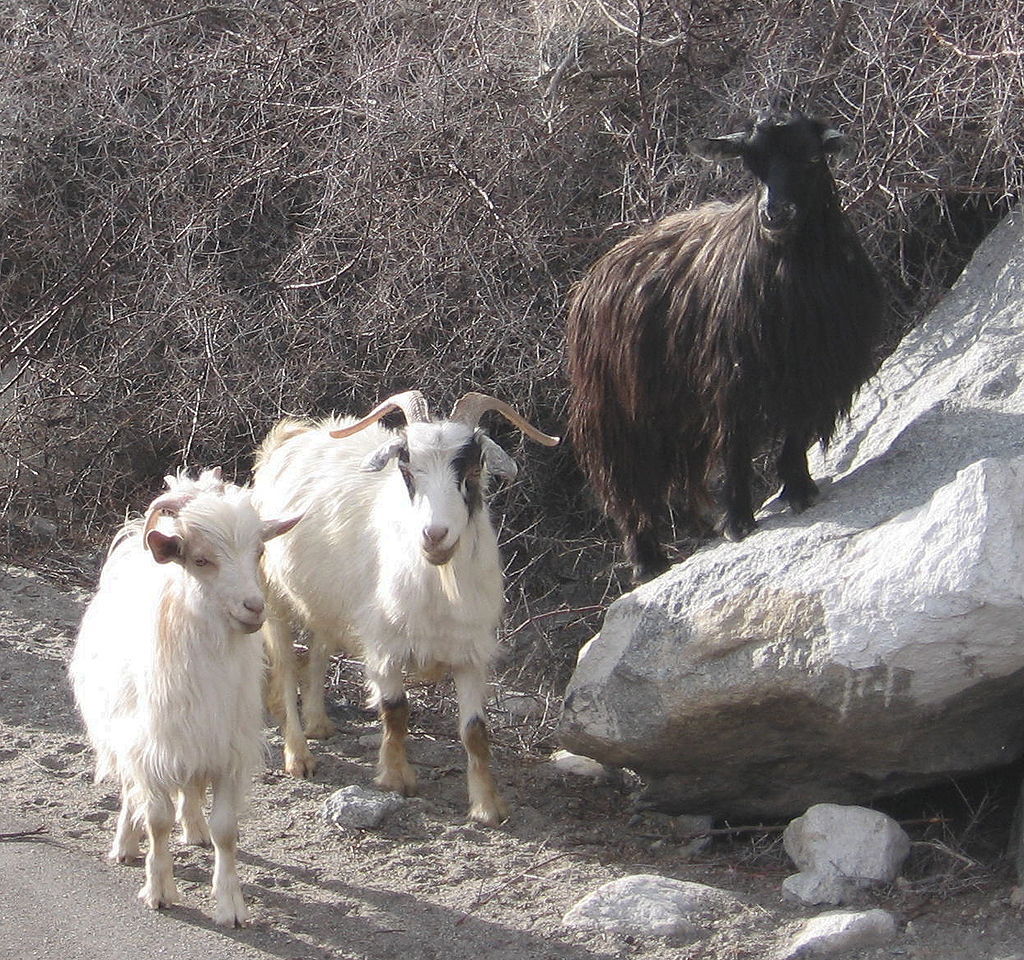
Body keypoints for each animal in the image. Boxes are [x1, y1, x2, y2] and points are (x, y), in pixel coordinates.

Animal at [69, 468, 296, 925]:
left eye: (259, 551)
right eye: (201, 560)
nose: (254, 607)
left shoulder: (225, 749)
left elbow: (227, 830)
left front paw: (230, 904)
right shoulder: (151, 749)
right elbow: (156, 820)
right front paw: (159, 890)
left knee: (190, 790)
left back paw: (195, 830)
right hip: (127, 736)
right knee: (131, 793)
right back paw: (125, 844)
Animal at [253, 388, 561, 822]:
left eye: (471, 469)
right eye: (407, 468)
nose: (435, 535)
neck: (439, 584)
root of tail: (291, 437)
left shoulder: (471, 653)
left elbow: (475, 731)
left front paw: (487, 805)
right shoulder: (385, 646)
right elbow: (396, 711)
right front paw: (397, 779)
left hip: (329, 603)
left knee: (318, 649)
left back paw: (318, 723)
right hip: (272, 593)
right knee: (283, 666)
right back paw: (299, 756)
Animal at [565, 108, 884, 581]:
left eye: (813, 158)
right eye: (751, 165)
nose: (775, 214)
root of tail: (597, 272)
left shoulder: (814, 373)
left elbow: (795, 434)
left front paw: (800, 490)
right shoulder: (731, 378)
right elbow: (734, 447)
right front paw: (737, 522)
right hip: (613, 411)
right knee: (625, 484)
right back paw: (647, 560)